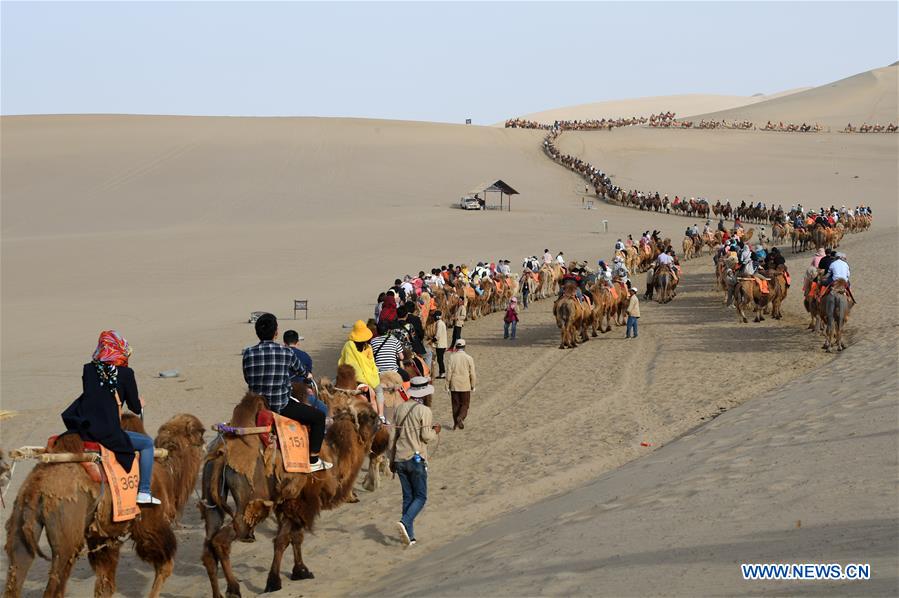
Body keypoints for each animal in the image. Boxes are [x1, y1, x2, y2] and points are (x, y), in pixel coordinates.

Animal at [3, 414, 204, 598]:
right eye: (199, 432)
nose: (205, 440)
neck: (169, 471)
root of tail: (36, 487)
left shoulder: (104, 537)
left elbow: (104, 585)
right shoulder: (150, 523)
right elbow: (165, 564)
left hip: (21, 521)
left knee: (17, 570)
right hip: (66, 534)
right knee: (55, 582)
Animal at [200, 370, 384, 598]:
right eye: (371, 416)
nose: (382, 420)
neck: (335, 453)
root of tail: (222, 455)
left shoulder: (288, 502)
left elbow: (293, 538)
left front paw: (300, 570)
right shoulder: (300, 500)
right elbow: (284, 539)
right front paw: (274, 581)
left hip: (211, 498)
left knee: (208, 547)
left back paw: (218, 592)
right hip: (251, 501)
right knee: (223, 540)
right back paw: (234, 589)